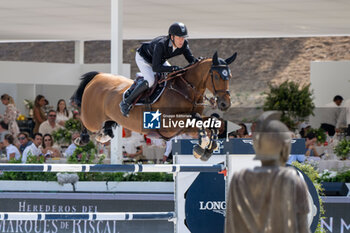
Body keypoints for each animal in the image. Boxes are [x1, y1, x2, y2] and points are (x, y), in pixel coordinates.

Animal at [70, 51, 237, 160]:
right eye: (217, 76)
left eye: (229, 76)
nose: (225, 103)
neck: (187, 90)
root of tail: (97, 77)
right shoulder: (168, 125)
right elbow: (196, 118)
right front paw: (201, 147)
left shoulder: (184, 128)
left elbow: (210, 121)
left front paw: (208, 147)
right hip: (92, 119)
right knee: (83, 118)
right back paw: (82, 138)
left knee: (105, 126)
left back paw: (105, 134)